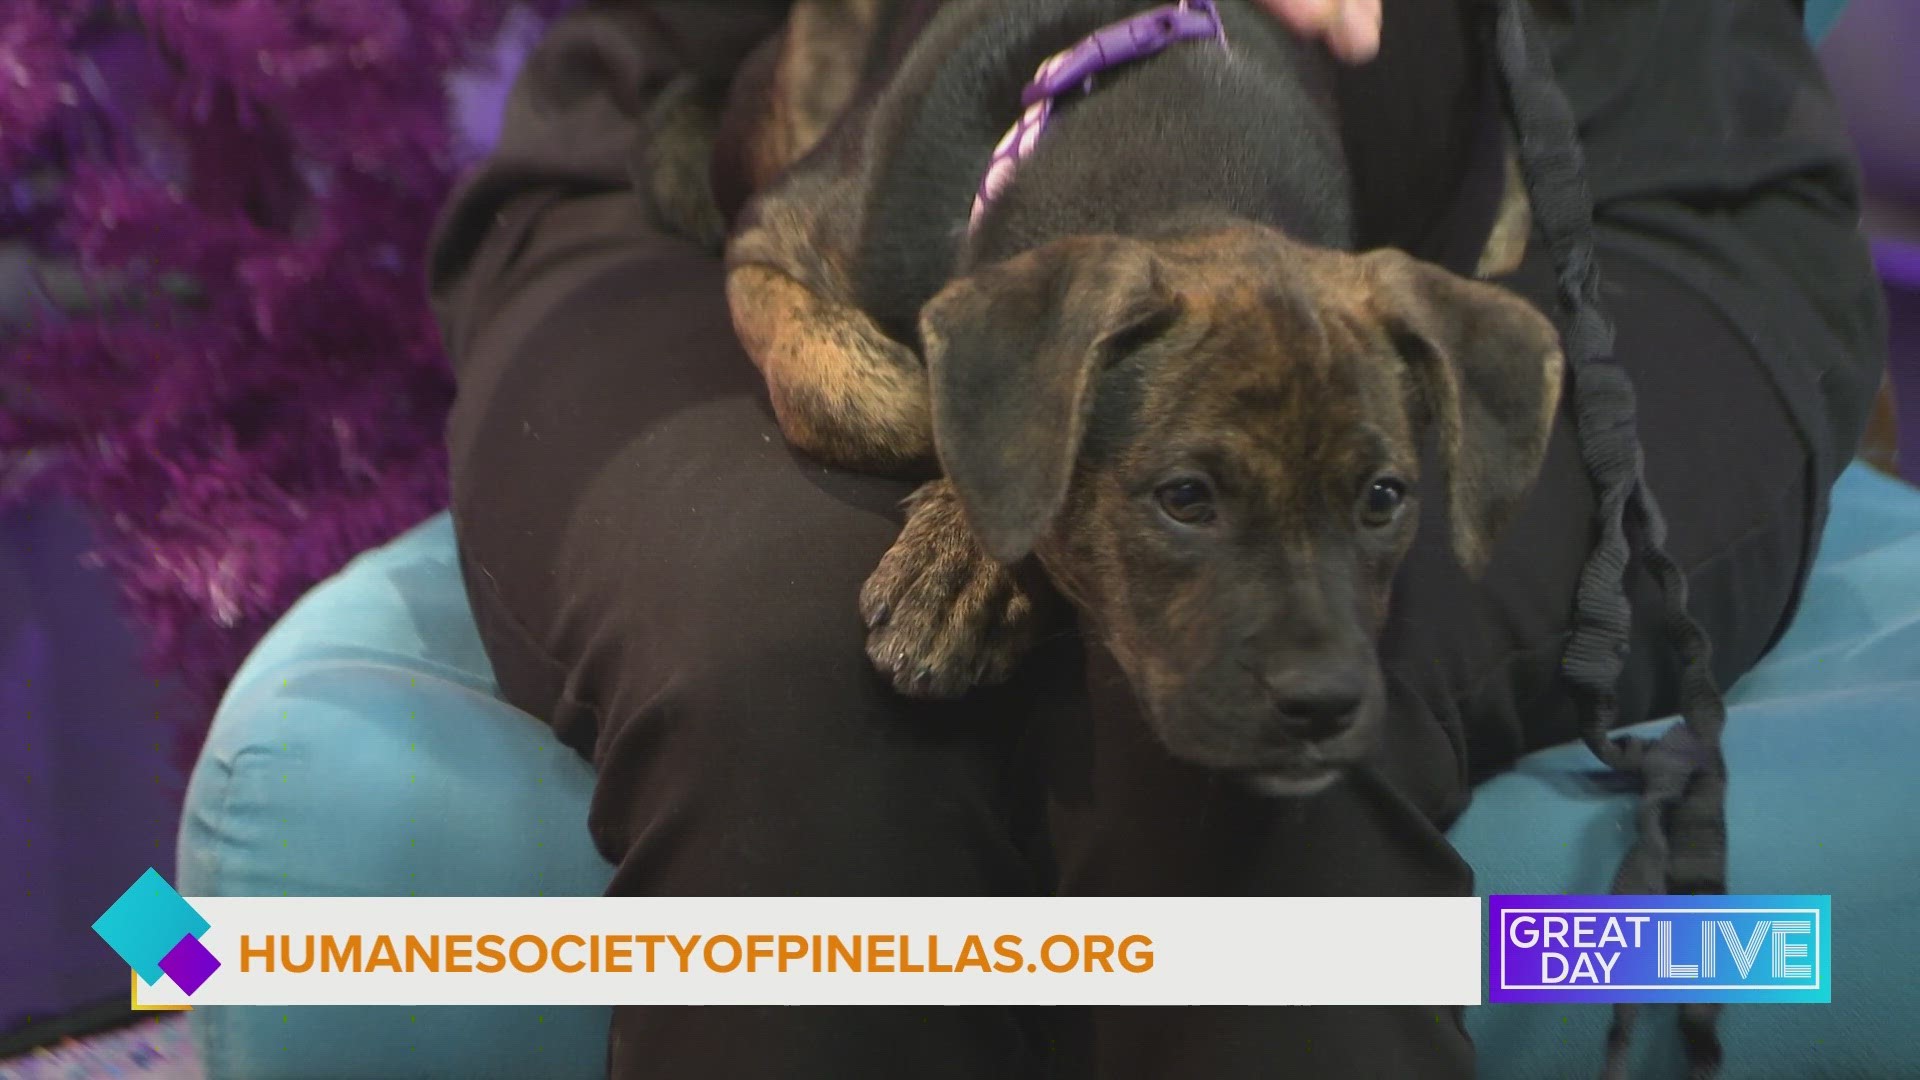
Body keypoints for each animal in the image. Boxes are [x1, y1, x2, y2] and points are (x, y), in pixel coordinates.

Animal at [721, 0, 1559, 791]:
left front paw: (970, 558)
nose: (1321, 705)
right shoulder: (768, 241)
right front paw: (966, 541)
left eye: (1383, 499)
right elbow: (856, 389)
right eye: (1183, 498)